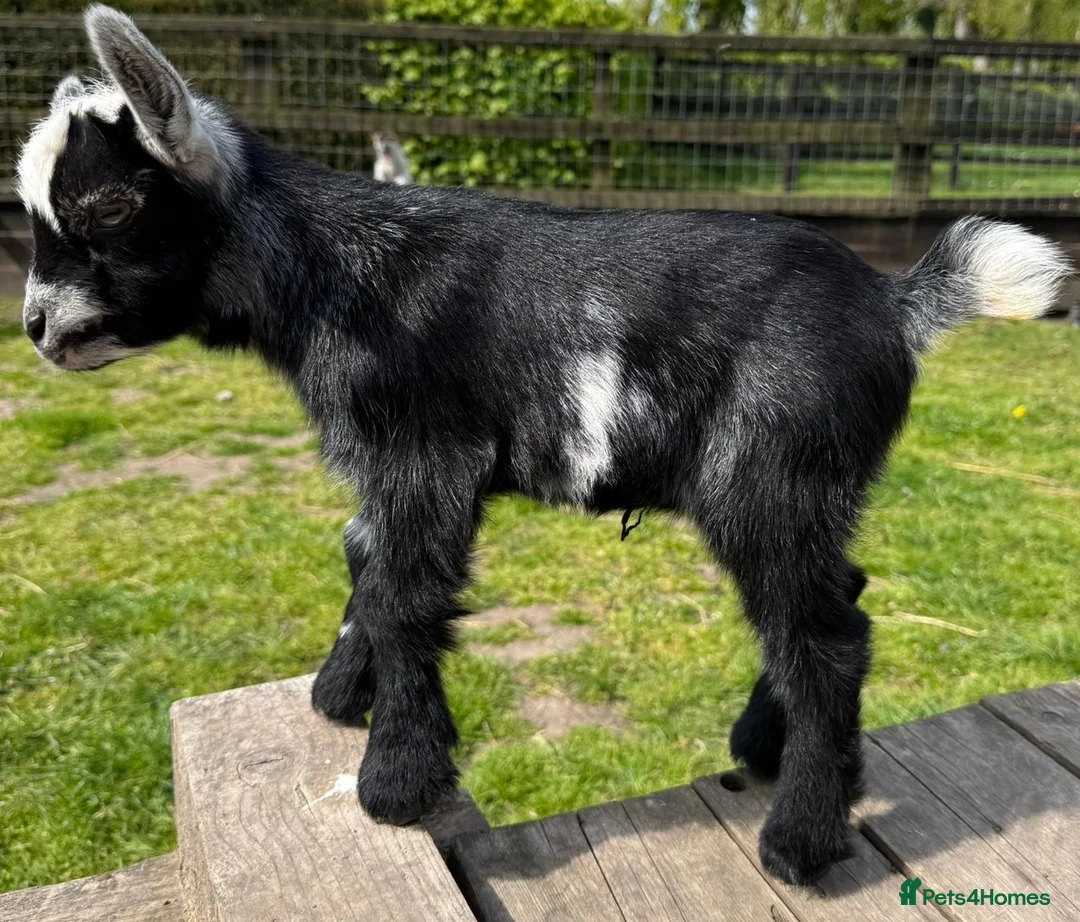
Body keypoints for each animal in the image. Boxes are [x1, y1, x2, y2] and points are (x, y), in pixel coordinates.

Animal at [16, 5, 1070, 885]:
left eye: (108, 208)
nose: (35, 326)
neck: (330, 271)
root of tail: (896, 304)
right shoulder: (380, 463)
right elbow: (363, 558)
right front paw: (341, 696)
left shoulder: (426, 453)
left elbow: (403, 594)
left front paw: (395, 781)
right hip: (808, 488)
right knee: (834, 593)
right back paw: (764, 747)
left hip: (770, 468)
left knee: (825, 638)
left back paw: (802, 838)